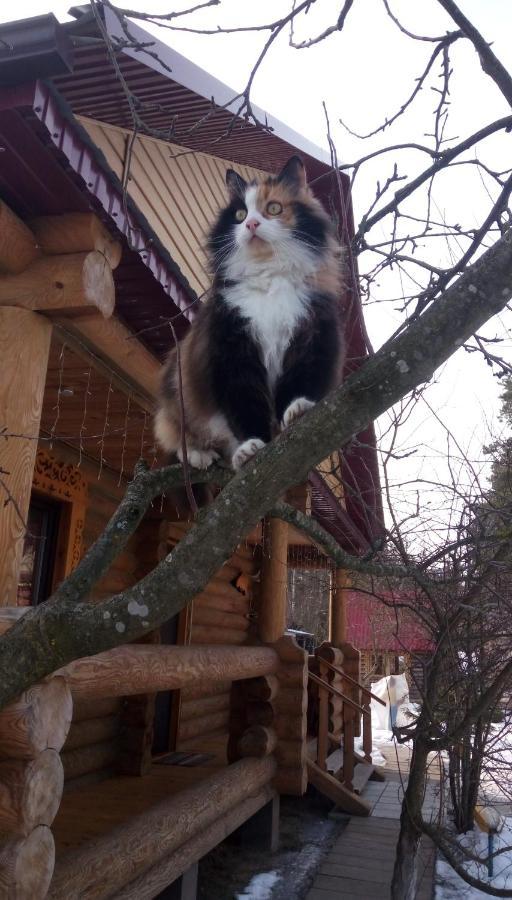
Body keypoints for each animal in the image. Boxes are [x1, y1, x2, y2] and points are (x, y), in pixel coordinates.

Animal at [155, 156, 344, 474]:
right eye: (241, 214)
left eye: (274, 208)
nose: (252, 224)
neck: (269, 279)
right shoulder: (232, 353)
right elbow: (245, 411)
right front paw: (250, 448)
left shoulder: (310, 339)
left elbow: (298, 386)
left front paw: (297, 410)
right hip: (175, 388)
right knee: (176, 435)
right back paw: (200, 455)